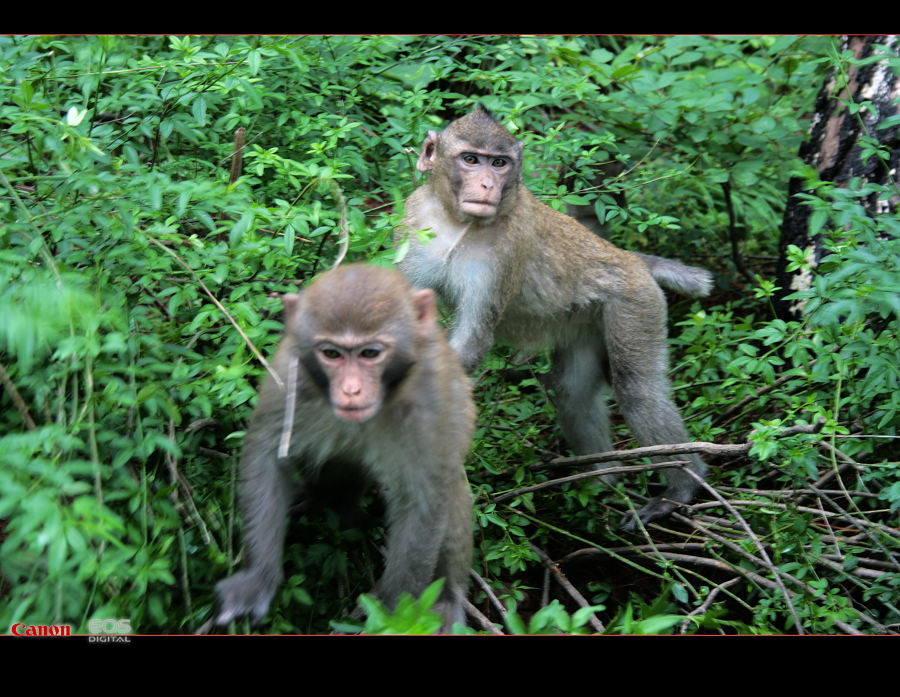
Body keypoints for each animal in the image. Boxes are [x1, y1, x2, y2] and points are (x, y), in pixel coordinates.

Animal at [215, 262, 478, 632]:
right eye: (331, 354)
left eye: (370, 353)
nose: (351, 390)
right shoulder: (291, 377)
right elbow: (268, 459)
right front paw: (258, 579)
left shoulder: (430, 403)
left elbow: (423, 503)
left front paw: (392, 616)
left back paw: (448, 597)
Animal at [396, 104, 712, 528]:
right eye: (471, 159)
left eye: (499, 163)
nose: (487, 186)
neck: (455, 221)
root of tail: (631, 259)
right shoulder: (413, 223)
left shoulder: (506, 250)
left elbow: (474, 338)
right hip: (584, 322)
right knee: (573, 393)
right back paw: (603, 479)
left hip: (634, 303)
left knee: (638, 392)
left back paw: (680, 488)